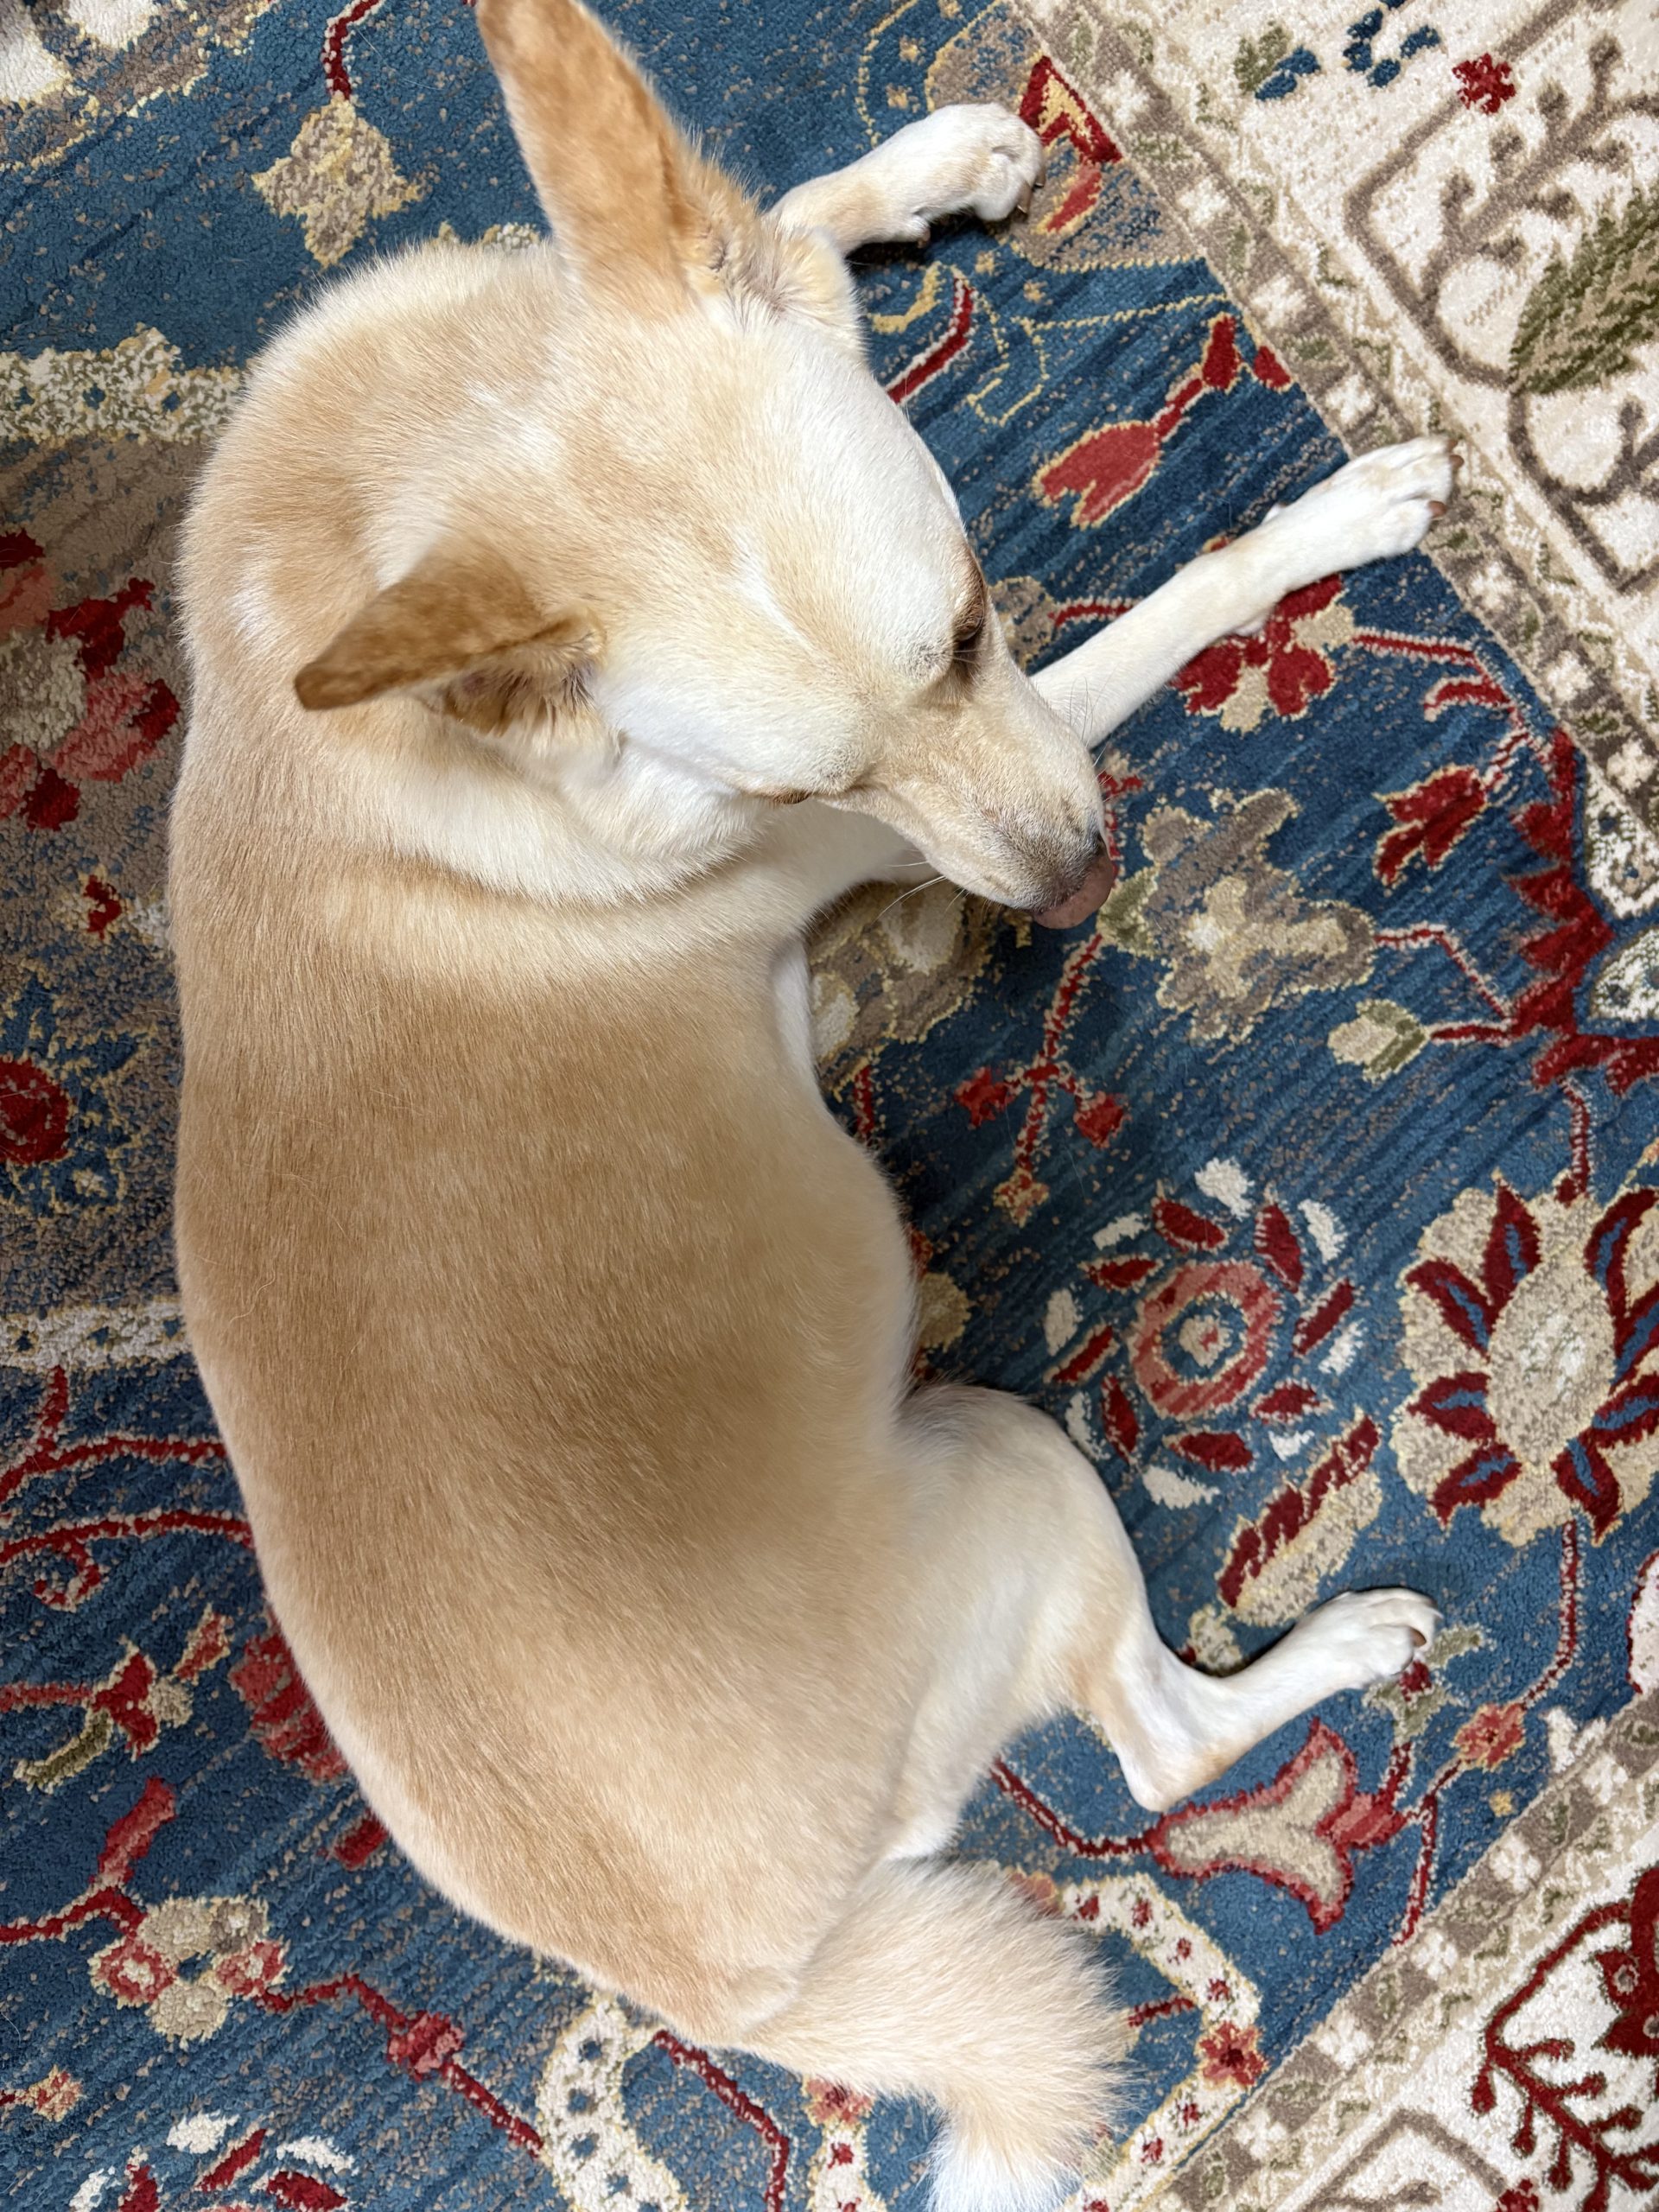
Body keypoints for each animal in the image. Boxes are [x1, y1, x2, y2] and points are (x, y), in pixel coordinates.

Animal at [170, 3, 1451, 2203]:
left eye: (969, 619)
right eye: (790, 789)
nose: (1064, 889)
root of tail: (761, 1987)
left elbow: (758, 225)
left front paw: (926, 169)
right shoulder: (934, 794)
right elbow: (1182, 601)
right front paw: (1342, 508)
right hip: (1014, 1463)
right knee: (1165, 1743)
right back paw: (1348, 1649)